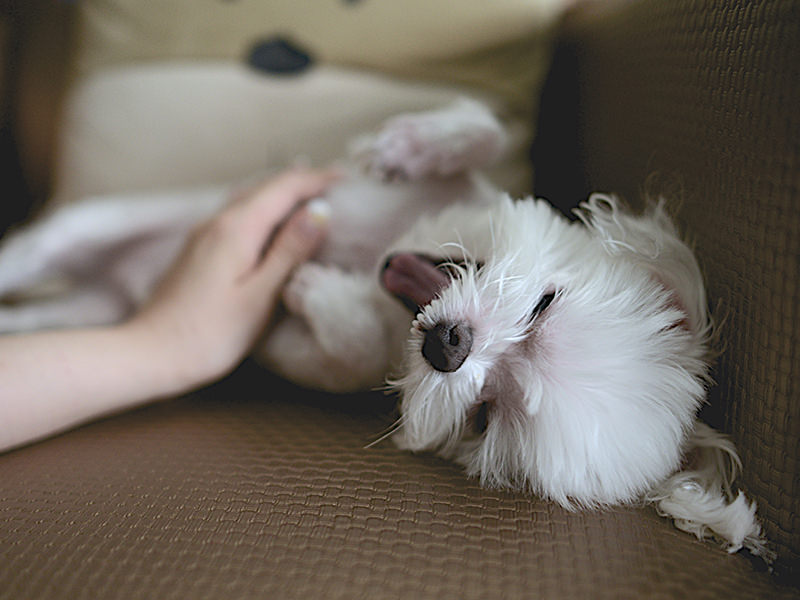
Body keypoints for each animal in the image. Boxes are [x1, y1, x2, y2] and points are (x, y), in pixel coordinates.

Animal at [0, 98, 770, 559]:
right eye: (544, 305)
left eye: (485, 415)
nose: (448, 347)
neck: (390, 255)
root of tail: (117, 284)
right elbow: (485, 132)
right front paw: (413, 145)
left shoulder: (317, 355)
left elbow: (344, 351)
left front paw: (316, 291)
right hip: (87, 228)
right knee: (31, 253)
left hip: (90, 310)